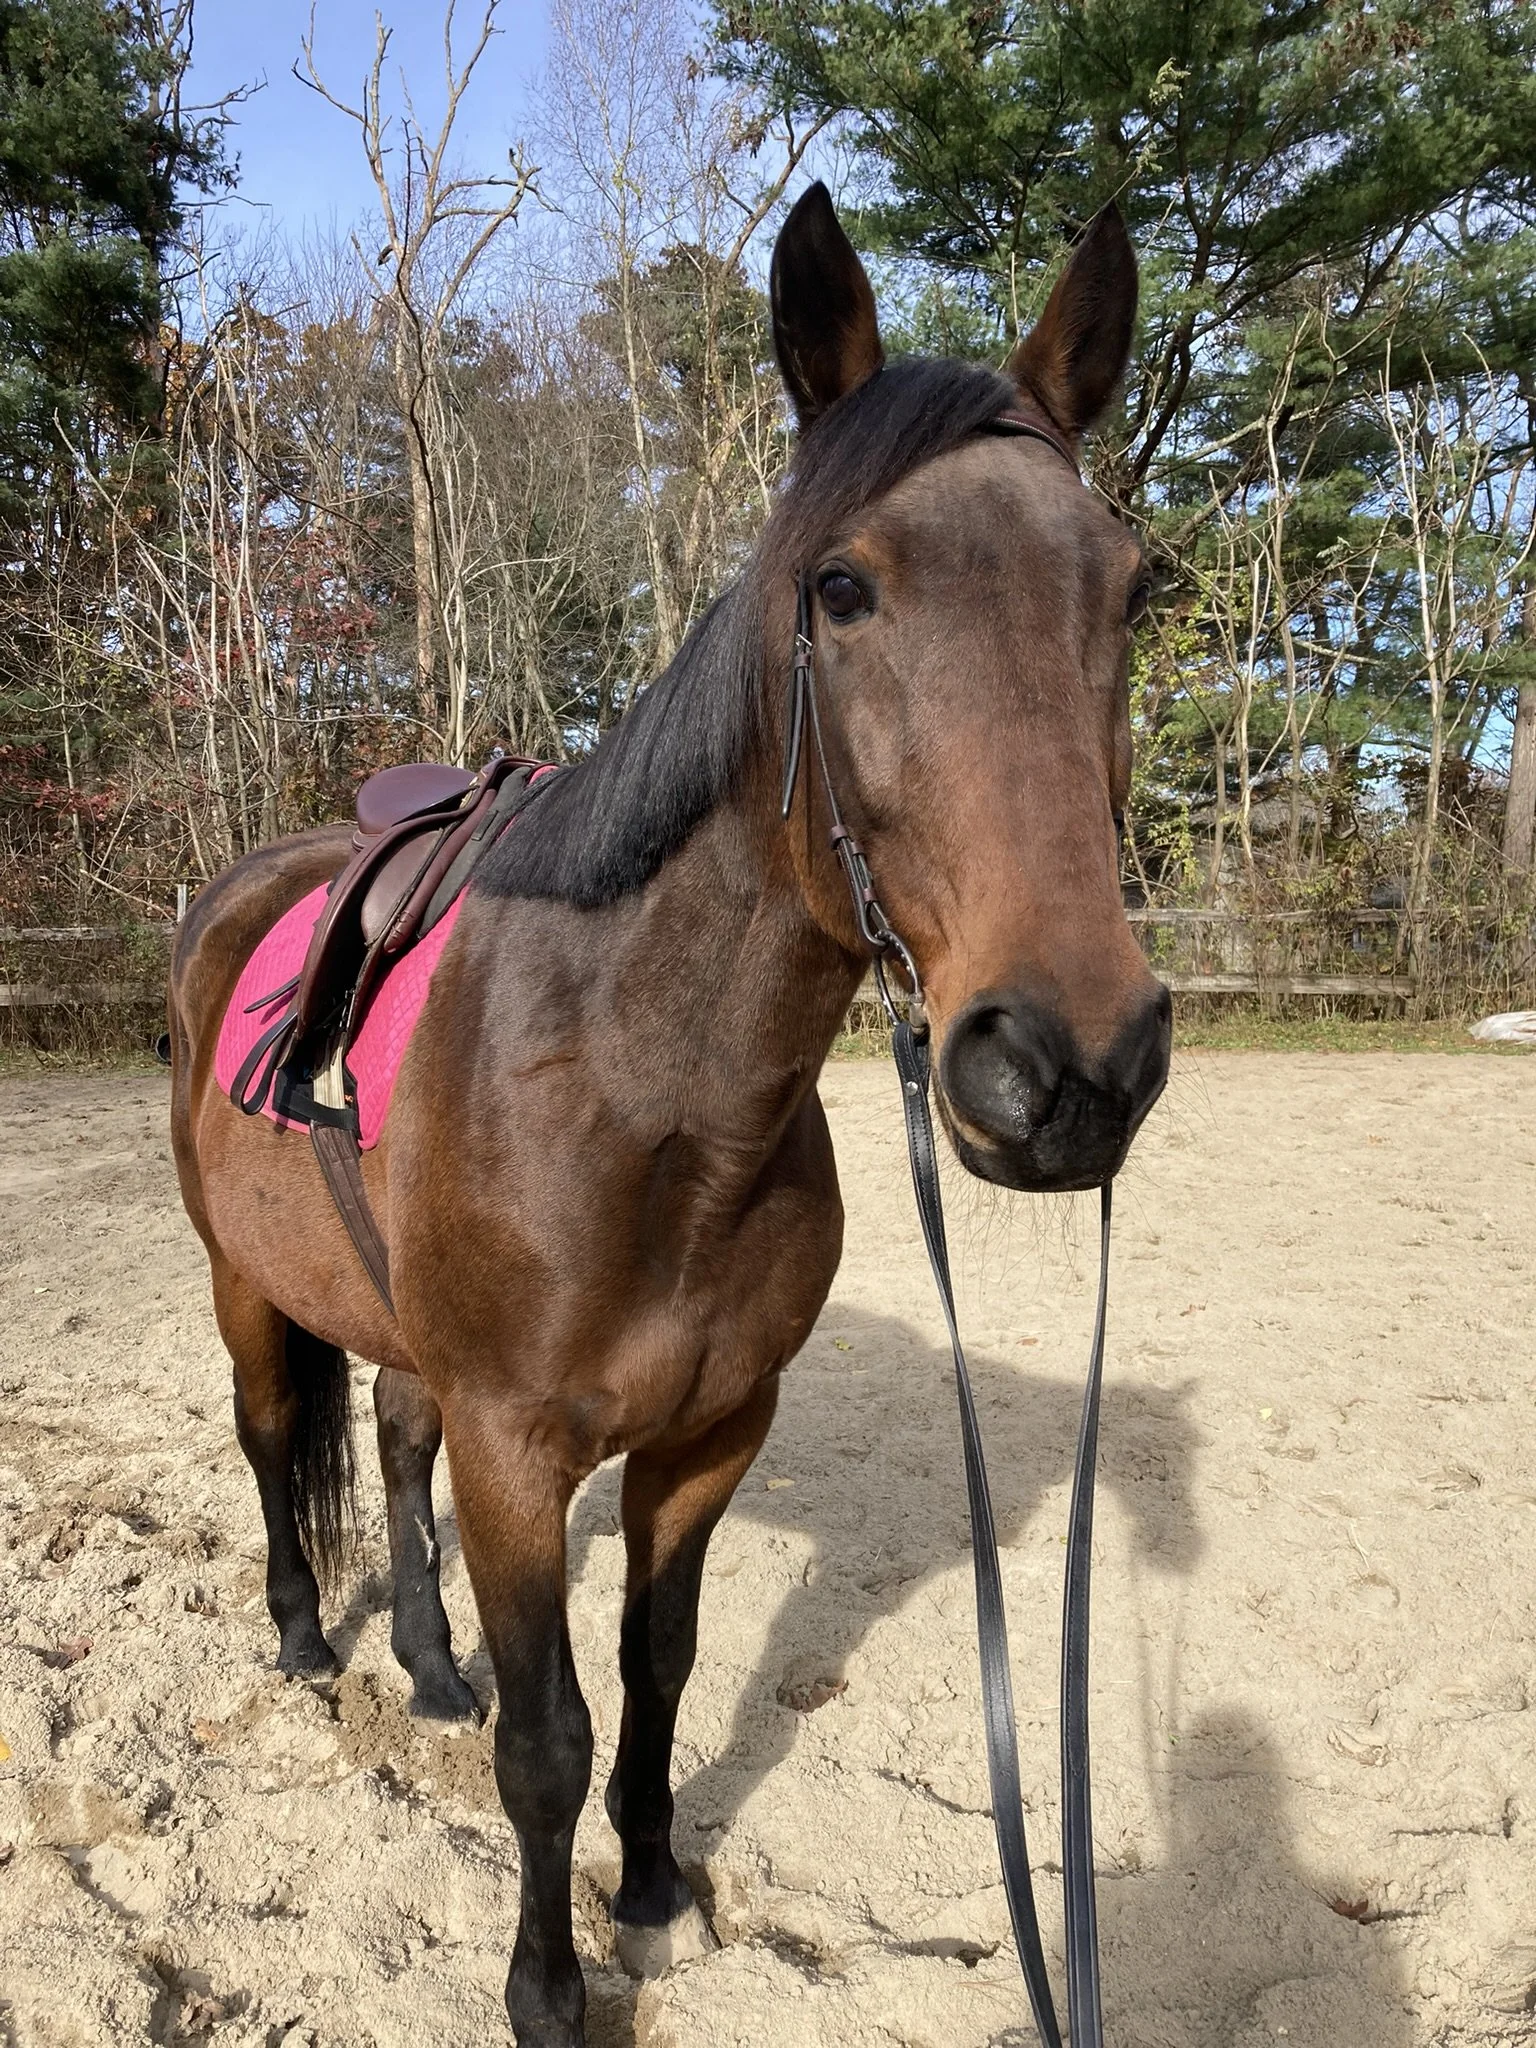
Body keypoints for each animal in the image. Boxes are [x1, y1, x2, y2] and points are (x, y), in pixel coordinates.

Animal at [167, 182, 1171, 2047]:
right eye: (842, 588)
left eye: (1135, 589)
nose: (1071, 1065)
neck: (650, 1100)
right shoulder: (519, 1453)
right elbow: (548, 1737)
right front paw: (546, 1987)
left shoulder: (708, 1440)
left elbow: (656, 1672)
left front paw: (647, 1884)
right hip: (247, 1287)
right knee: (276, 1443)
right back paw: (304, 1644)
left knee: (387, 1443)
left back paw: (422, 1663)